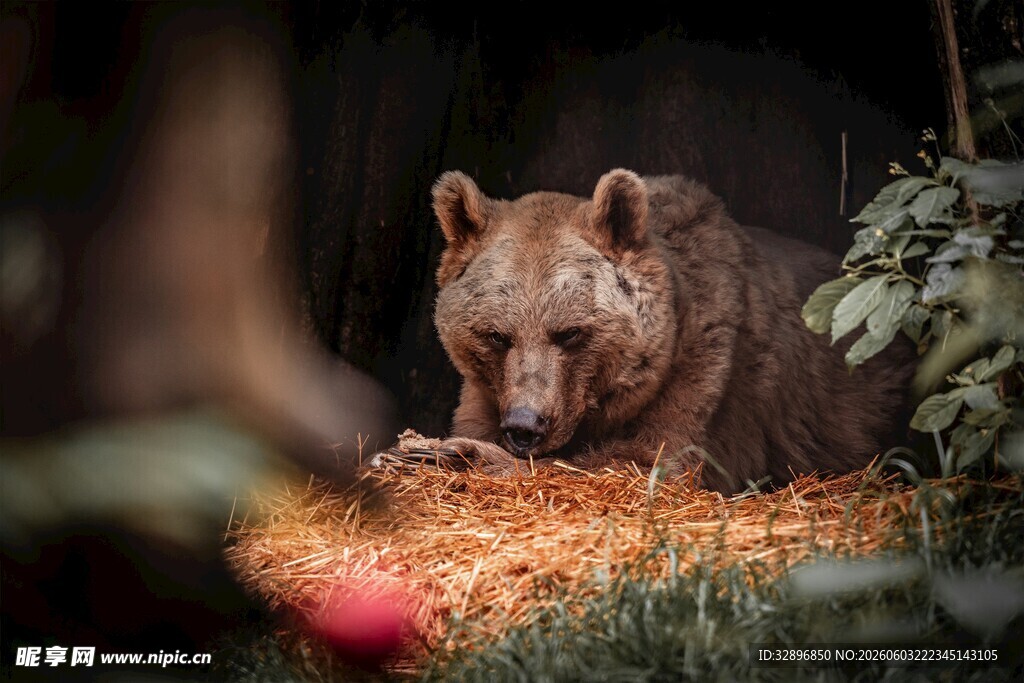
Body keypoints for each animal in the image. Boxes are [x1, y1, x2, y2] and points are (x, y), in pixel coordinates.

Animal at [424, 169, 912, 493]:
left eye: (570, 333)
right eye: (497, 335)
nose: (526, 426)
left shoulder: (708, 368)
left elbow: (643, 461)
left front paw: (457, 453)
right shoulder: (488, 392)